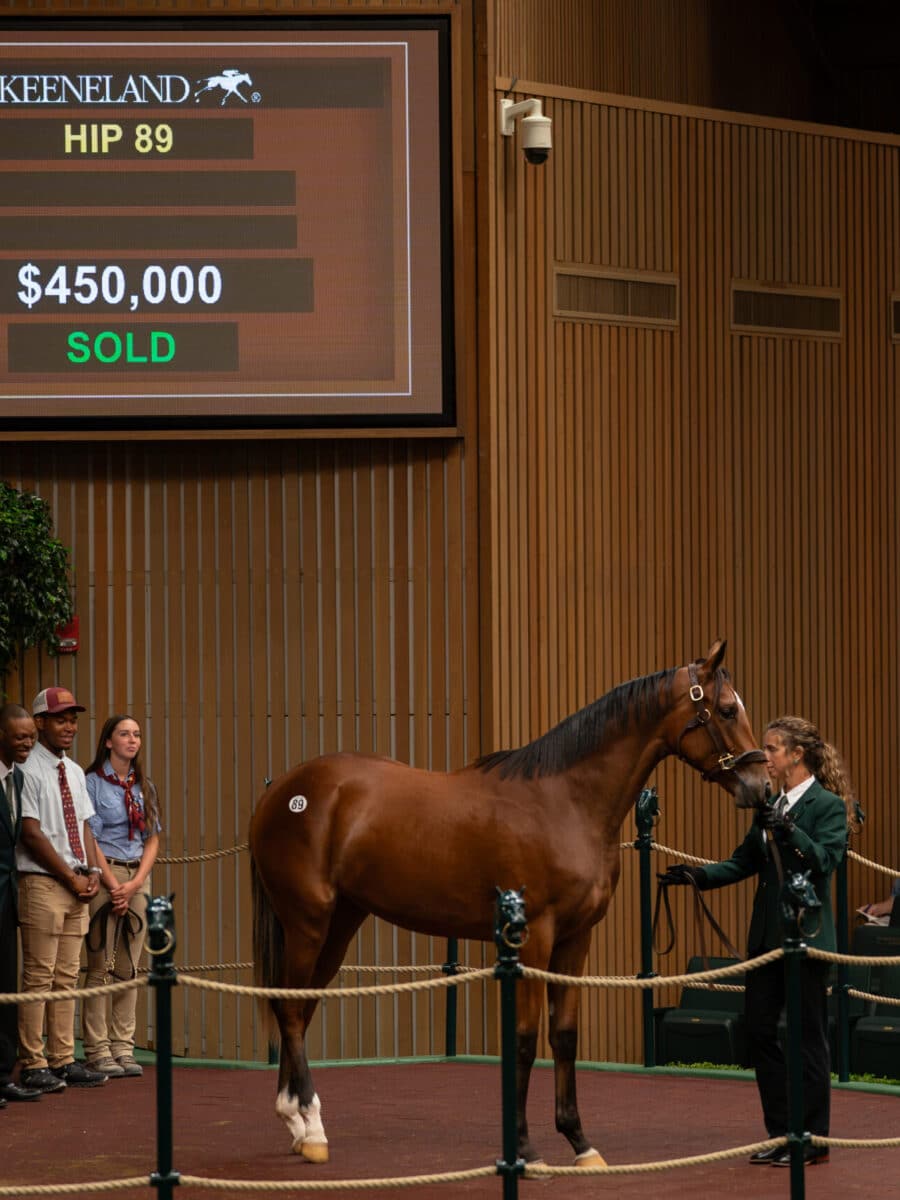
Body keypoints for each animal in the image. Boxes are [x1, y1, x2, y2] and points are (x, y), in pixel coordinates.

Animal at [250, 643, 772, 1166]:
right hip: (307, 922)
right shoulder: (534, 937)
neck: (564, 802)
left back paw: (297, 1123)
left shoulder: (575, 939)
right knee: (290, 1010)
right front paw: (524, 1148)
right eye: (728, 709)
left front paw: (580, 1143)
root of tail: (283, 790)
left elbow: (564, 1036)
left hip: (340, 923)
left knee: (298, 1006)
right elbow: (523, 1038)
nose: (761, 786)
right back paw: (312, 1128)